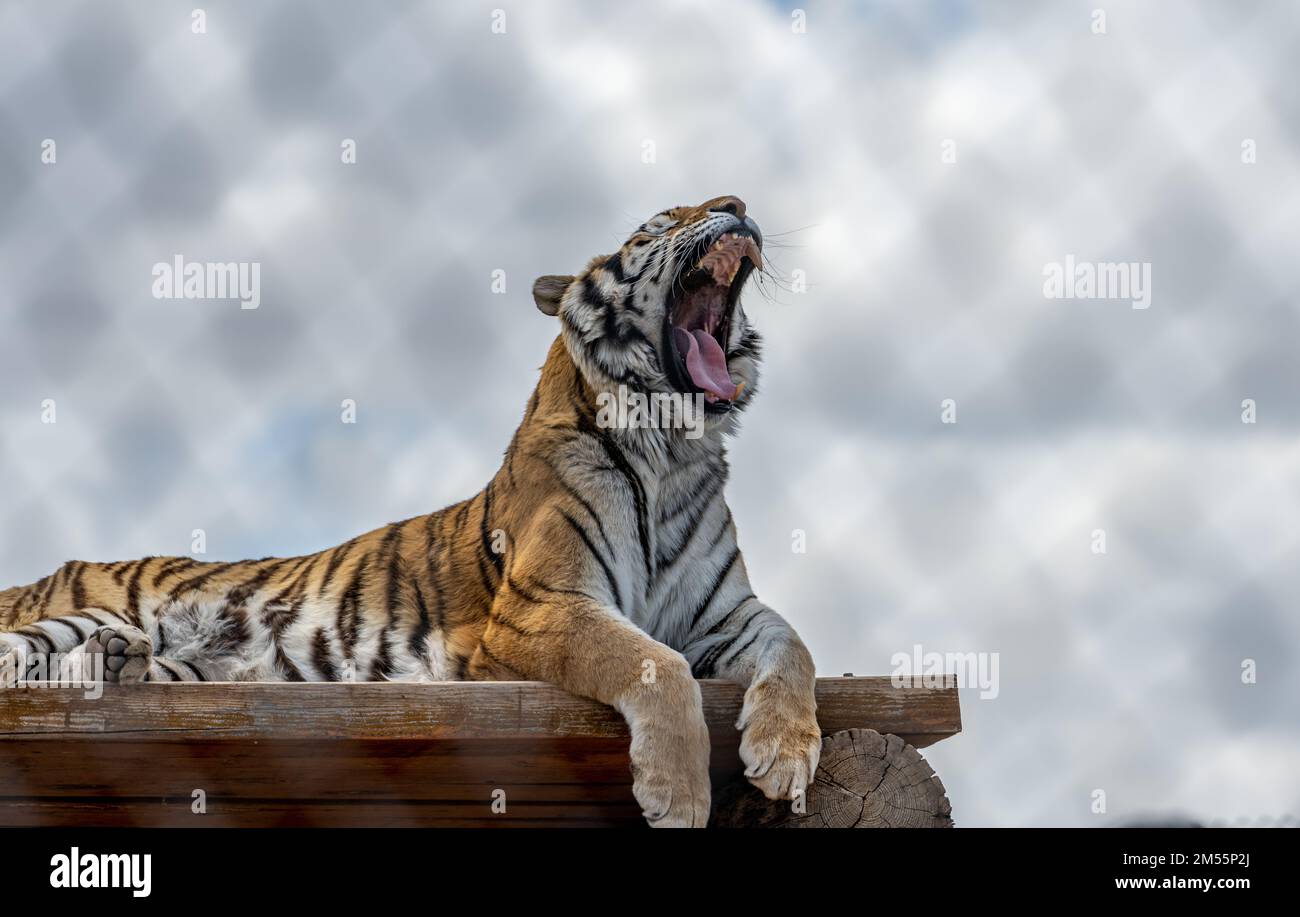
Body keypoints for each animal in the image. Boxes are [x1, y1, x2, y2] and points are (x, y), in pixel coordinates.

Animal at [0, 195, 821, 828]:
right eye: (653, 227)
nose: (736, 203)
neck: (674, 451)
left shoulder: (726, 612)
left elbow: (793, 646)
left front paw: (785, 754)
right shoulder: (540, 607)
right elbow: (658, 663)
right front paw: (677, 795)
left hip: (191, 667)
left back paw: (119, 662)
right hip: (80, 608)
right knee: (19, 655)